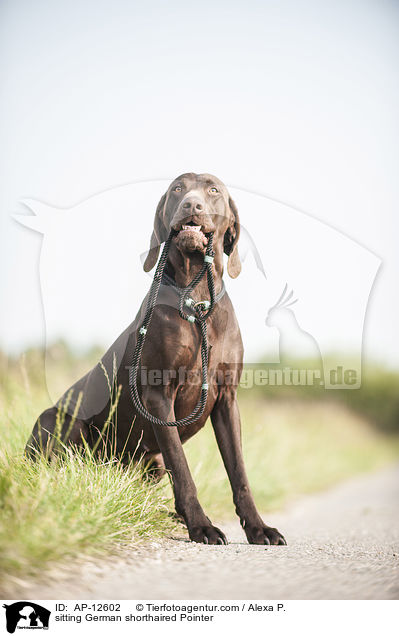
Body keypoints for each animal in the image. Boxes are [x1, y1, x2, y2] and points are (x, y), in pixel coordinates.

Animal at [25, 174, 288, 548]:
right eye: (178, 188)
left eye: (213, 190)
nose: (191, 204)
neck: (197, 299)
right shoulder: (158, 394)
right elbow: (183, 468)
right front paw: (201, 526)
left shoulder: (226, 399)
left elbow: (239, 473)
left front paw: (258, 528)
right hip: (59, 422)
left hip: (151, 463)